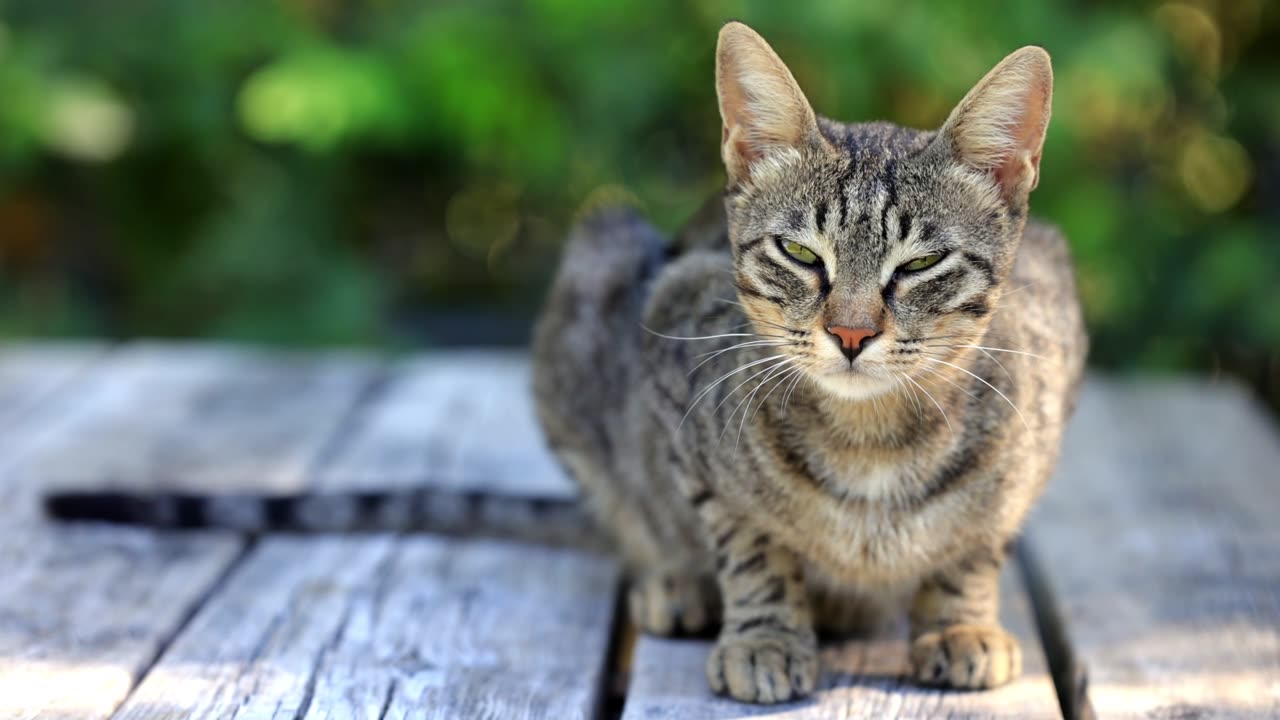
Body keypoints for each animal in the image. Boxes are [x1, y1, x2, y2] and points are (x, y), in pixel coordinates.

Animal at [527, 22, 1080, 702]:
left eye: (922, 263)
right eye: (800, 253)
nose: (850, 332)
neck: (871, 442)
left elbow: (978, 542)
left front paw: (958, 623)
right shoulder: (679, 393)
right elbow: (751, 546)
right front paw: (765, 637)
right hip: (598, 268)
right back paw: (677, 581)